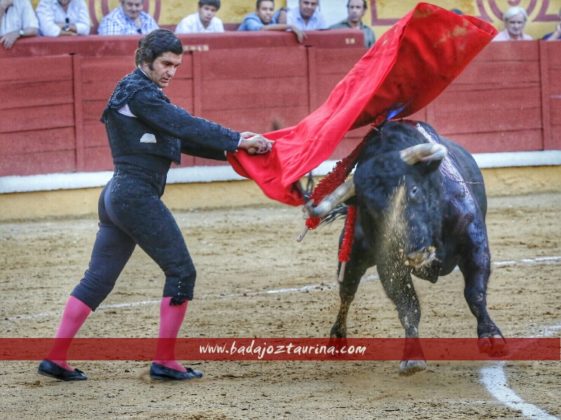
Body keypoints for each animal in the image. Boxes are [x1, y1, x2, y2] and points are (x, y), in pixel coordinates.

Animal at [320, 119, 508, 374]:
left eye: (414, 189)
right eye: (370, 207)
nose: (414, 251)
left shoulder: (474, 242)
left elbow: (475, 293)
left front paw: (491, 336)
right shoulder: (390, 264)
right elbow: (409, 307)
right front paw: (412, 357)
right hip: (352, 257)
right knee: (347, 293)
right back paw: (337, 339)